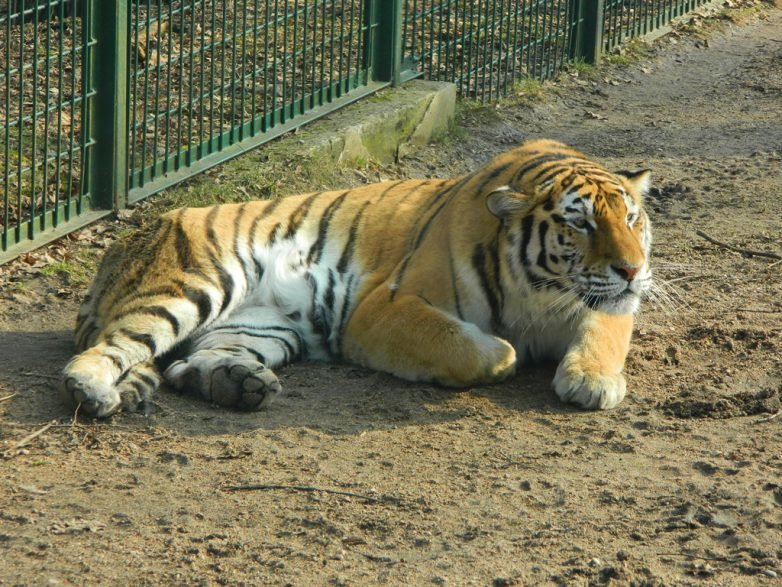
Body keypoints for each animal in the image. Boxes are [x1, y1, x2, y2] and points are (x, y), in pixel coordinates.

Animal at [61, 139, 652, 418]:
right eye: (580, 222)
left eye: (630, 219)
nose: (632, 269)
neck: (543, 292)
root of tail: (126, 241)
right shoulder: (382, 308)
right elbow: (484, 350)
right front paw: (508, 354)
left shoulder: (609, 304)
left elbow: (605, 329)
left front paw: (592, 380)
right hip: (192, 285)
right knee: (108, 350)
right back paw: (93, 391)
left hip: (263, 328)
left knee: (188, 364)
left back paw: (241, 385)